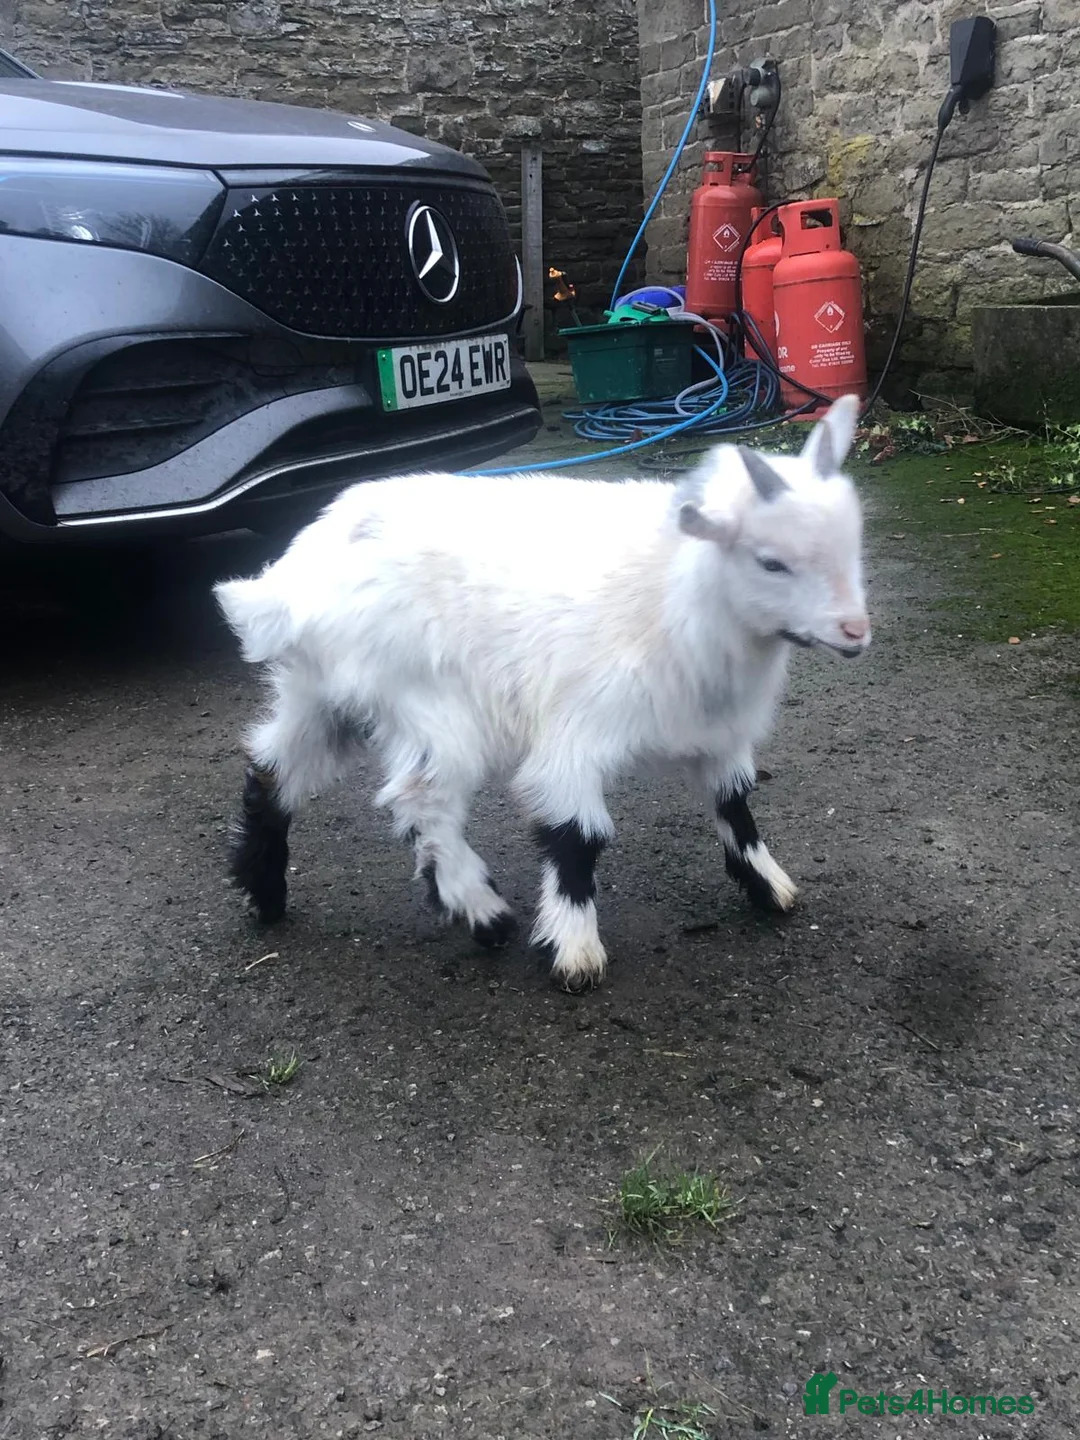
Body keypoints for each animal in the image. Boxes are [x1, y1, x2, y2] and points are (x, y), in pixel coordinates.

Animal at [214, 395, 870, 991]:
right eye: (770, 562)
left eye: (852, 544)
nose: (855, 632)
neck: (675, 587)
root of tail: (293, 585)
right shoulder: (577, 731)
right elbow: (577, 834)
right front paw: (574, 950)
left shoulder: (719, 732)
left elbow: (735, 803)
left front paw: (770, 887)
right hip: (430, 705)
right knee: (421, 799)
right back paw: (482, 912)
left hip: (323, 695)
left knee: (273, 772)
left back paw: (263, 891)